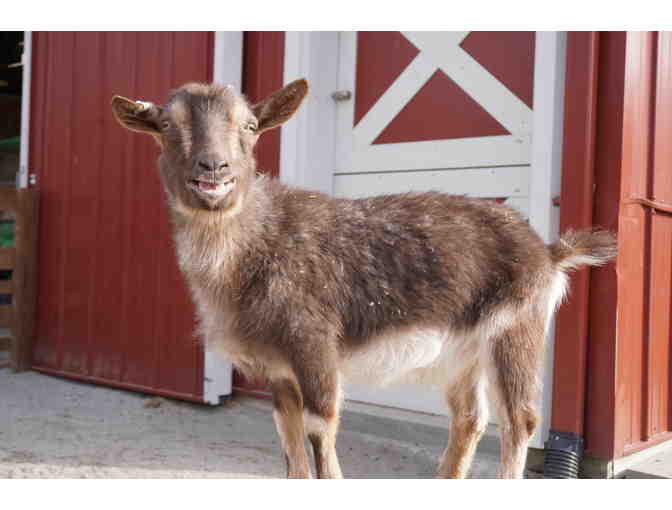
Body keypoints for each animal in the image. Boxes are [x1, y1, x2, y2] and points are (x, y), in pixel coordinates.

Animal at [111, 79, 616, 478]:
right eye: (165, 126)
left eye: (251, 127)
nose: (214, 170)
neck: (254, 244)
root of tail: (548, 252)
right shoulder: (277, 369)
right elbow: (291, 449)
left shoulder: (313, 343)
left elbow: (321, 433)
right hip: (464, 350)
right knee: (470, 418)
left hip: (517, 327)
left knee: (519, 421)